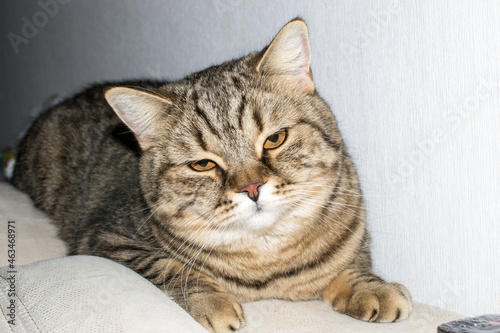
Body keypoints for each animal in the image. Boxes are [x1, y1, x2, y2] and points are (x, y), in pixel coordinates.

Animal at [12, 18, 410, 332]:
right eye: (202, 164)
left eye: (275, 139)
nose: (252, 187)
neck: (268, 262)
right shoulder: (108, 240)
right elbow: (169, 267)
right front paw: (211, 302)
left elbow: (353, 261)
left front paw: (370, 286)